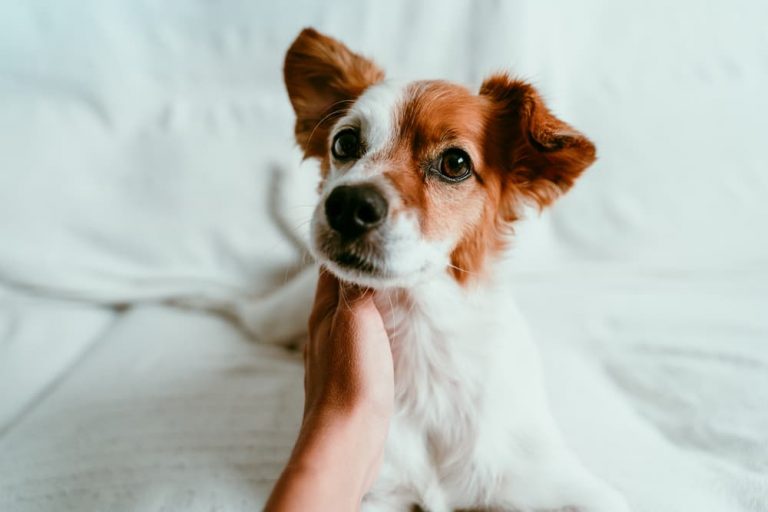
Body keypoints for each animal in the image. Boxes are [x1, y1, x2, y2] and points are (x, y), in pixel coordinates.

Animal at [210, 29, 632, 512]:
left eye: (456, 163)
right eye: (344, 144)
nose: (347, 205)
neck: (421, 328)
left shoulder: (550, 481)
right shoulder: (378, 492)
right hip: (273, 318)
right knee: (235, 304)